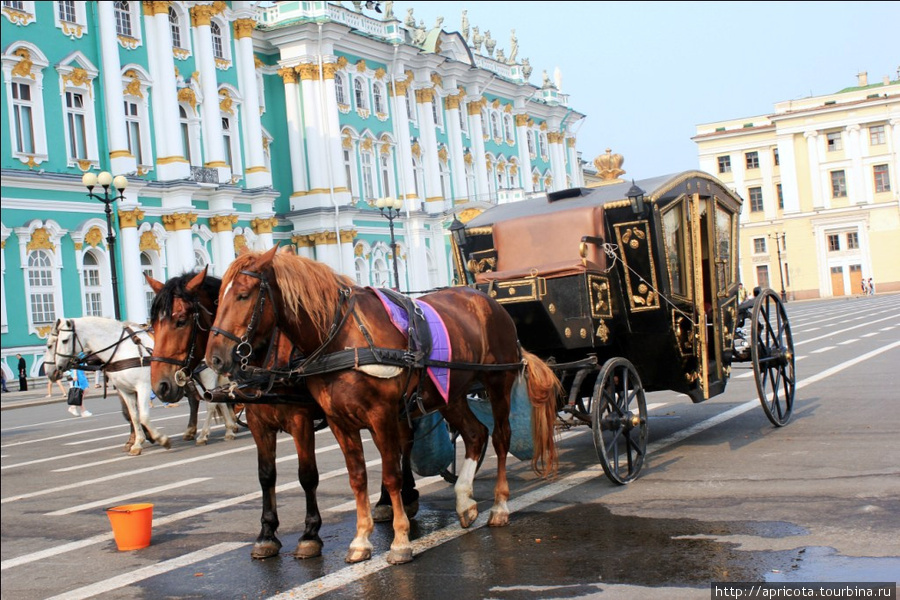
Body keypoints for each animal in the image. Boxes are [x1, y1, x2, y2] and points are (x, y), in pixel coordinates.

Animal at [207, 246, 560, 564]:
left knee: (500, 437)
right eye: (217, 298)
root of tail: (486, 299)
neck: (342, 338)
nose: (215, 358)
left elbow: (386, 475)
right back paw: (464, 501)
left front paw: (399, 540)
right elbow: (353, 476)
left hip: (497, 383)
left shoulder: (373, 417)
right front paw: (360, 540)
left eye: (243, 295)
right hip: (449, 392)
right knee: (475, 434)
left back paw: (499, 506)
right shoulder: (336, 422)